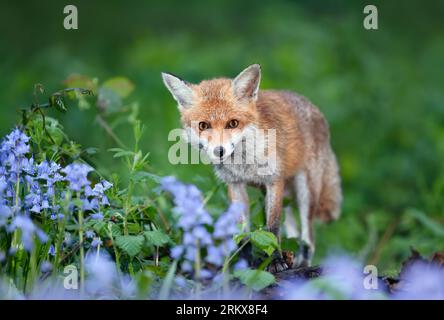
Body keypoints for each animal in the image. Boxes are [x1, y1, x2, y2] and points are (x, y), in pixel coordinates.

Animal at [161, 63, 342, 272]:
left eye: (233, 123)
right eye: (203, 125)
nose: (219, 151)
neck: (244, 164)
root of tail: (314, 108)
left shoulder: (274, 181)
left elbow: (273, 228)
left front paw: (275, 261)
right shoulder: (235, 184)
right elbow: (243, 233)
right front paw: (245, 263)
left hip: (306, 191)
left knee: (308, 236)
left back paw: (302, 263)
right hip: (282, 196)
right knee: (293, 230)